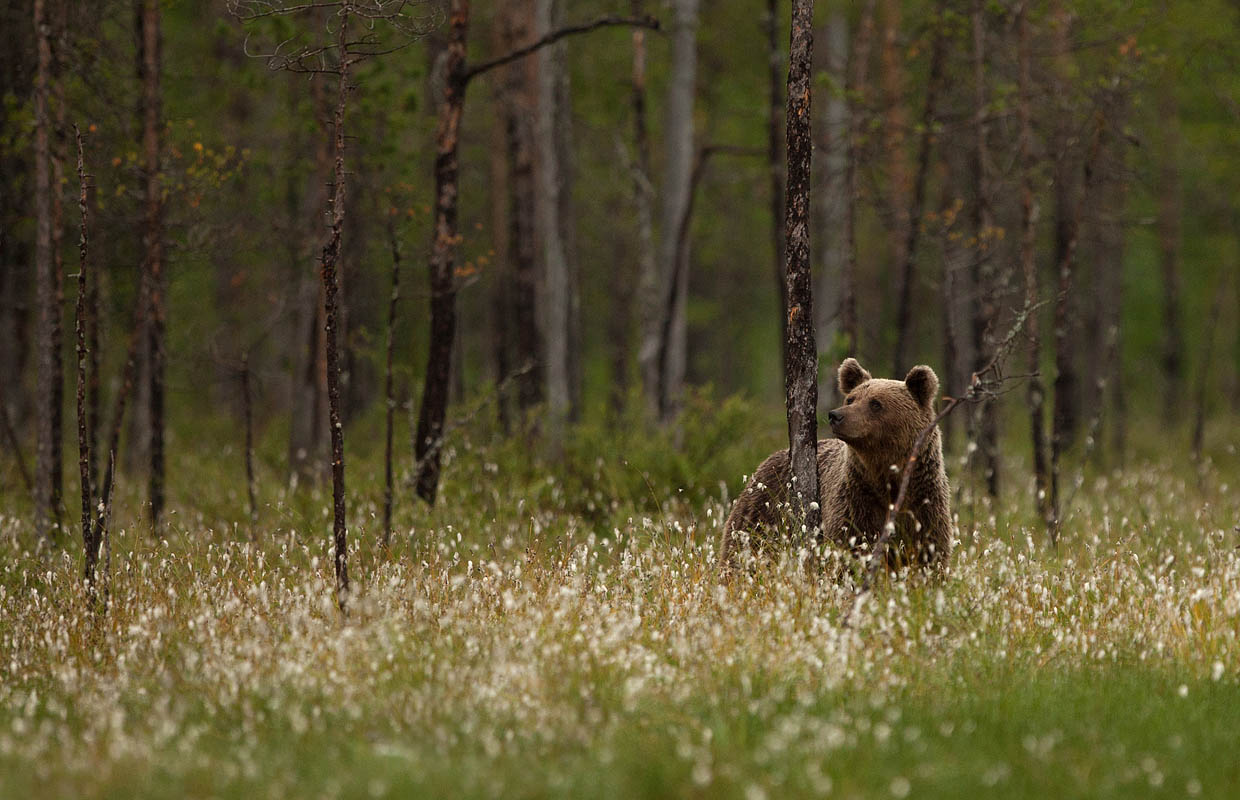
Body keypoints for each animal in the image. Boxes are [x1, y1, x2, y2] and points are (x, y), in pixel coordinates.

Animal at [719, 359, 947, 570]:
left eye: (875, 403)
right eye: (851, 398)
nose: (836, 415)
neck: (886, 478)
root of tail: (765, 462)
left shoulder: (924, 507)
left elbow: (929, 557)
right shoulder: (856, 504)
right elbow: (848, 550)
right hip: (763, 511)